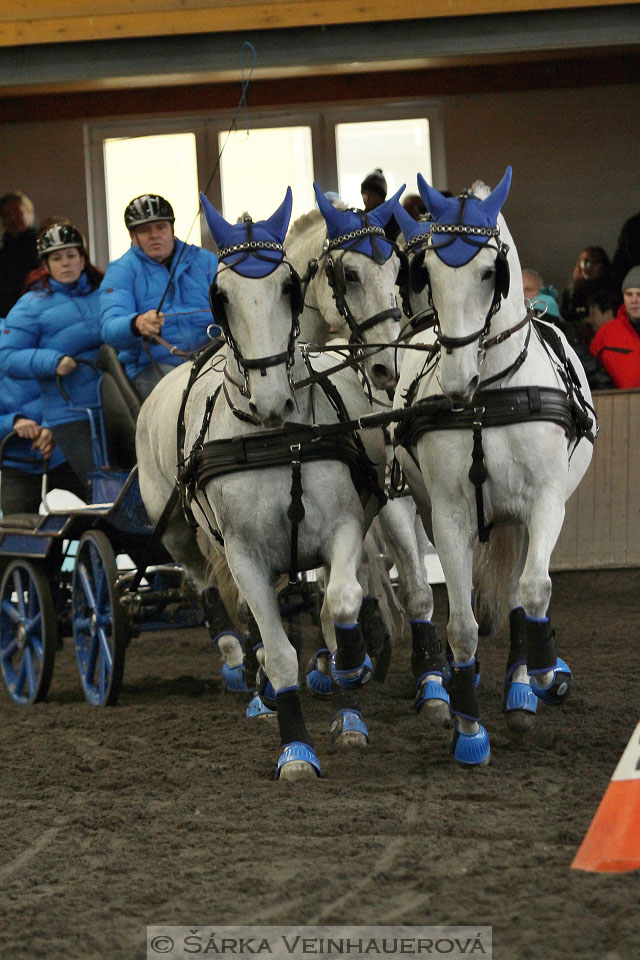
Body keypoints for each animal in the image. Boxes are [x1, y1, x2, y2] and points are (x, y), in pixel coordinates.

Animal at [137, 189, 384, 780]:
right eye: (220, 296)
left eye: (288, 288)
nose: (273, 400)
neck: (276, 437)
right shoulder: (245, 555)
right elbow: (277, 652)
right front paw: (295, 750)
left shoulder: (344, 527)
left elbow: (340, 604)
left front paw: (349, 684)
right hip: (177, 531)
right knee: (206, 586)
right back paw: (237, 663)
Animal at [392, 167, 596, 764]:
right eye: (431, 271)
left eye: (490, 272)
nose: (458, 382)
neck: (492, 397)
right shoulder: (450, 516)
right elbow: (460, 623)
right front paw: (467, 725)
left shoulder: (545, 502)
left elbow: (533, 592)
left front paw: (543, 675)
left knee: (520, 594)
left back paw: (524, 687)